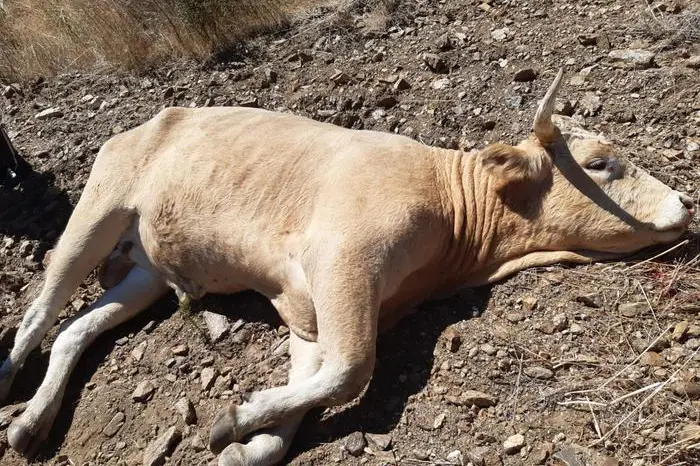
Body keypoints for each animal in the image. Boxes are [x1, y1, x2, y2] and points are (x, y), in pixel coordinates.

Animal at [0, 70, 692, 466]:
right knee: (40, 310)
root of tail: (161, 115)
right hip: (98, 206)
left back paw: (33, 422)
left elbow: (308, 392)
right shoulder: (343, 257)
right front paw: (236, 419)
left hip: (145, 269)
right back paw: (10, 379)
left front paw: (247, 439)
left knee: (74, 331)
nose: (686, 203)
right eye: (599, 163)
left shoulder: (310, 307)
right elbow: (353, 368)